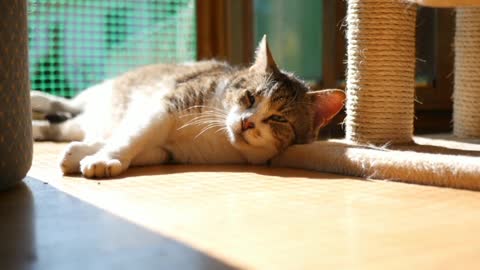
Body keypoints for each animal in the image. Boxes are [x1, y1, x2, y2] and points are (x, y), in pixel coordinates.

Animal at [31, 36, 344, 179]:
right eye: (249, 97)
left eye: (279, 119)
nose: (247, 121)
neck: (220, 137)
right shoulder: (166, 106)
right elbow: (132, 137)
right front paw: (104, 158)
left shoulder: (171, 151)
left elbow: (145, 147)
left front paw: (83, 154)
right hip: (103, 91)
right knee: (69, 102)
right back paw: (36, 99)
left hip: (80, 122)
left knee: (62, 126)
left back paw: (40, 131)